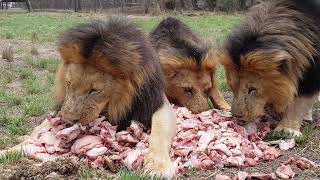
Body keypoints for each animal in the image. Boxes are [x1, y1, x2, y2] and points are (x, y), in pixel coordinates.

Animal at [0, 17, 178, 179]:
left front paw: (158, 168)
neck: (117, 104)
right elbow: (36, 131)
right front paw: (9, 150)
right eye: (69, 83)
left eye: (94, 90)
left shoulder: (157, 104)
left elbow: (158, 133)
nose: (69, 120)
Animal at [220, 0, 320, 136]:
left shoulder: (311, 75)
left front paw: (287, 129)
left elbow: (298, 104)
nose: (237, 117)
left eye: (253, 89)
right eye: (232, 86)